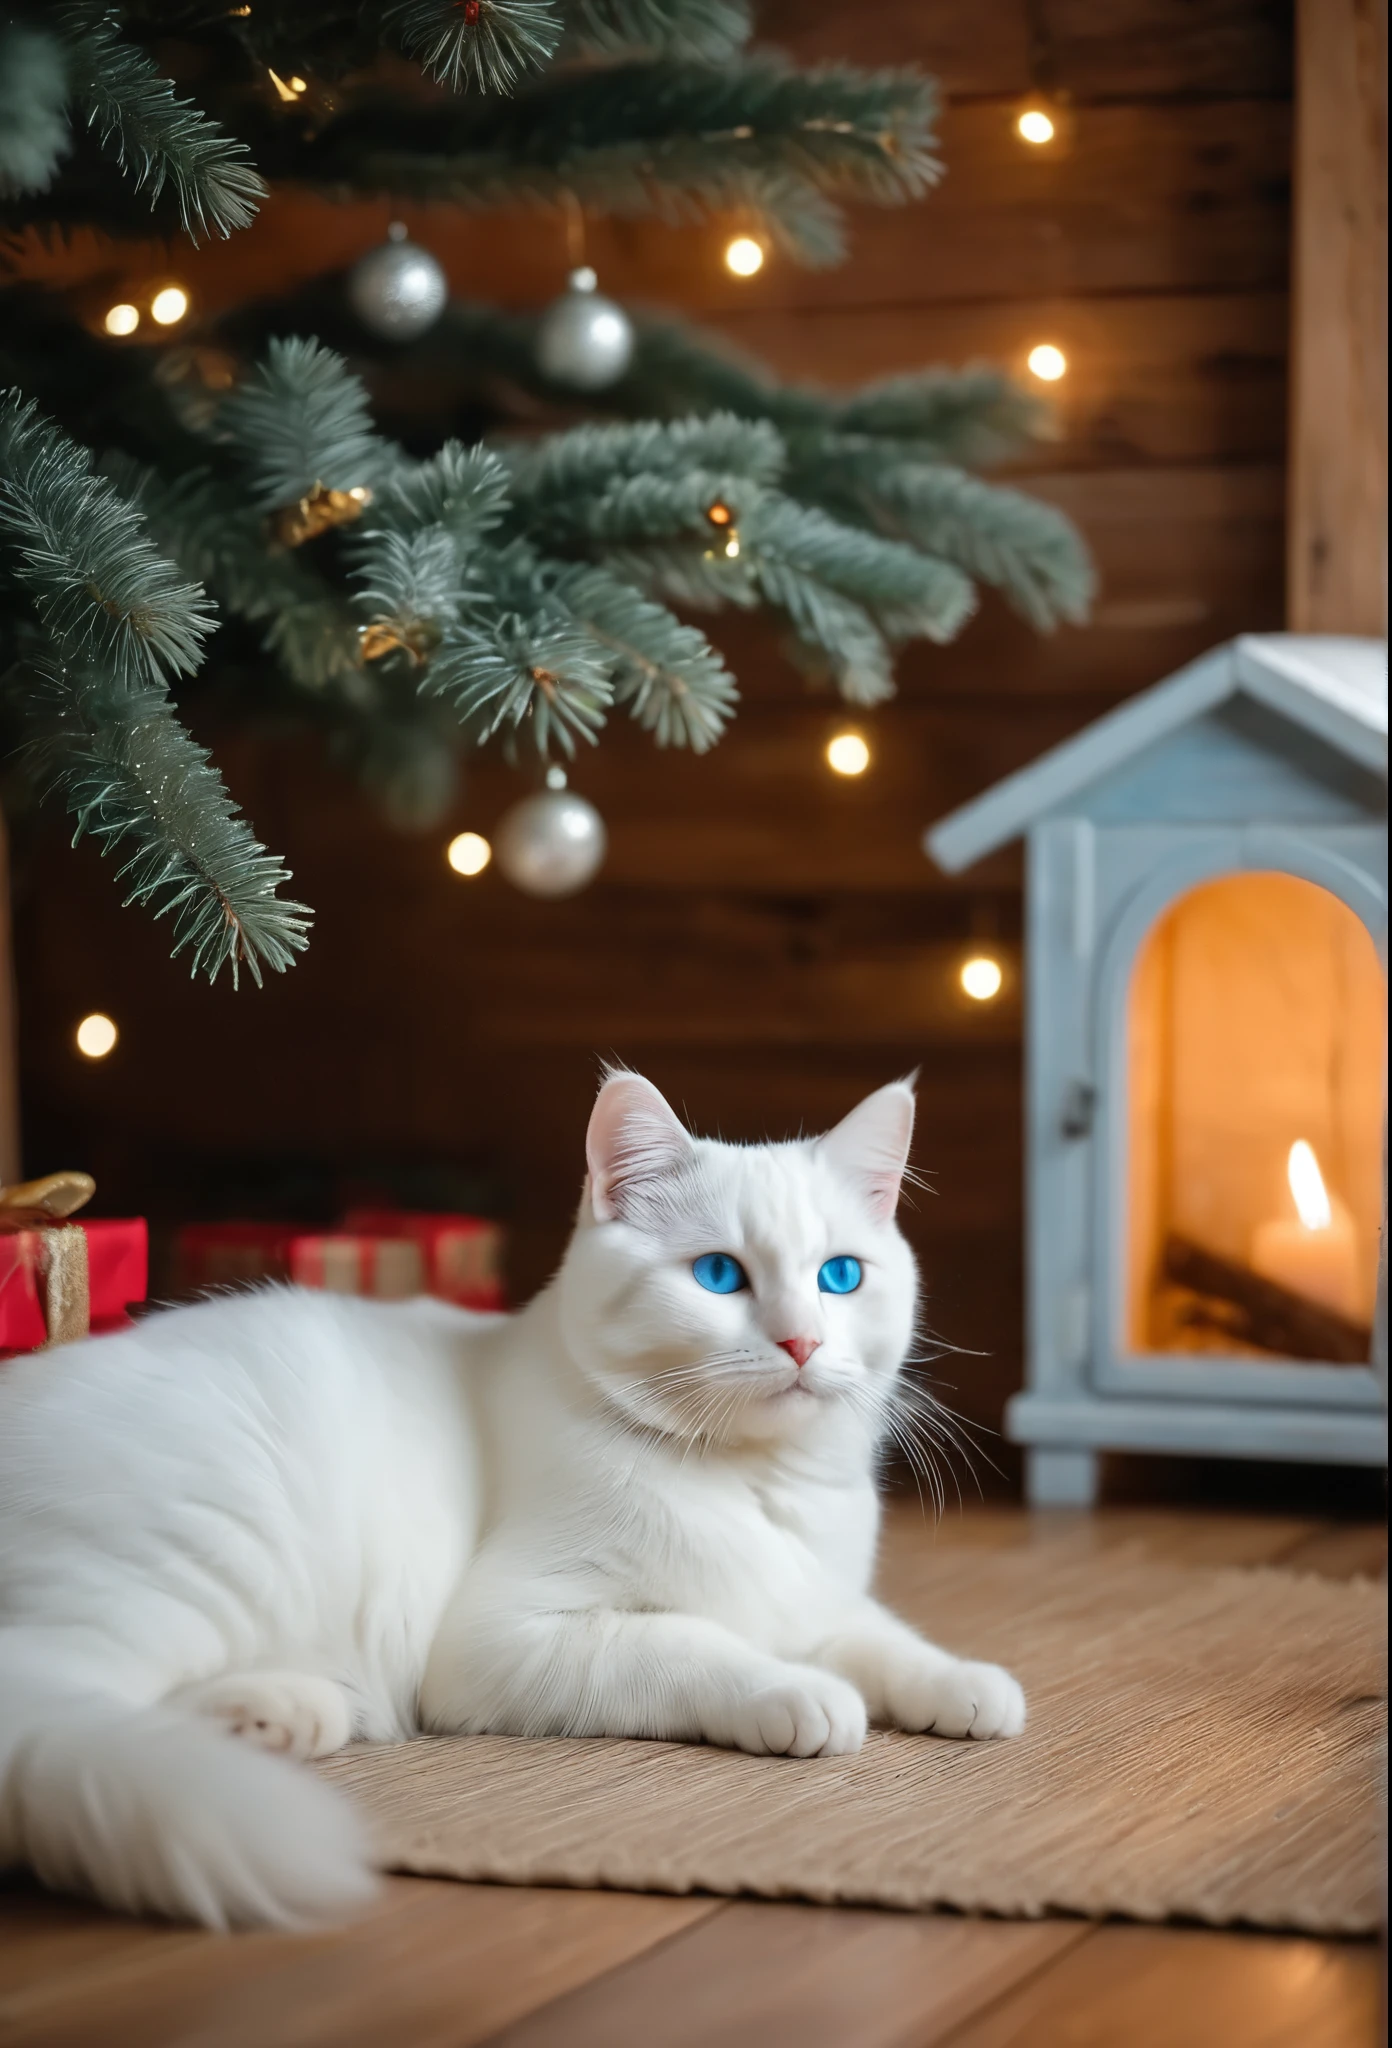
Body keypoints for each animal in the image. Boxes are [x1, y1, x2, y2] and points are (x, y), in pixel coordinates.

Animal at [0, 1081, 1023, 1925]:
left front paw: (964, 1684)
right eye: (719, 1275)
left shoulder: (820, 1596)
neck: (751, 1482)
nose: (804, 1341)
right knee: (51, 1696)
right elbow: (697, 1642)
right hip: (205, 1556)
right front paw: (798, 1692)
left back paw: (281, 1716)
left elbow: (882, 1637)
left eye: (840, 1276)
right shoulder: (509, 1636)